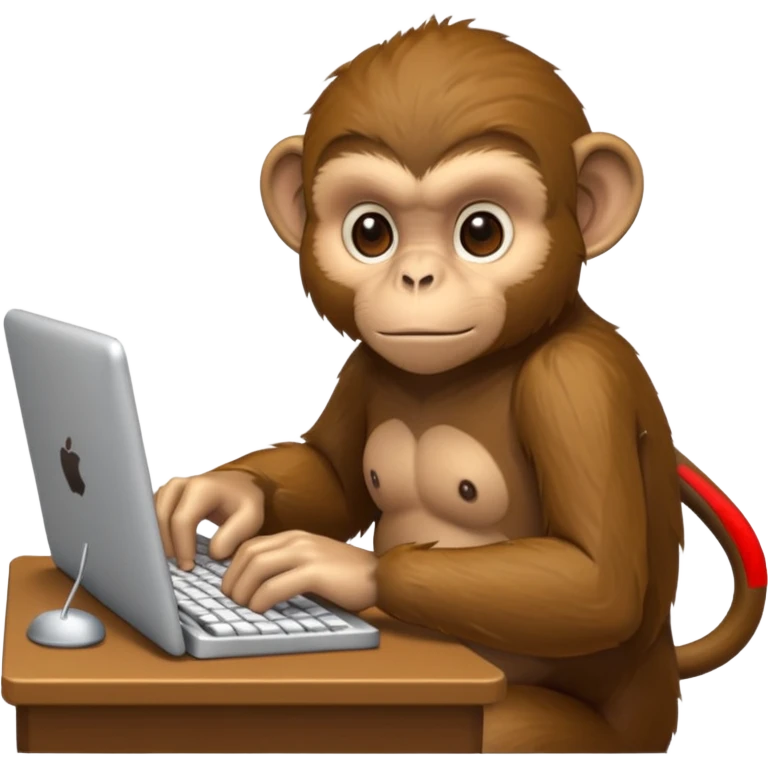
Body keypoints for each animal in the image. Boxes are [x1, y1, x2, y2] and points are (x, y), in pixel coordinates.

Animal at [155, 18, 767, 754]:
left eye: (481, 231)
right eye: (371, 231)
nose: (417, 277)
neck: (480, 365)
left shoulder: (575, 389)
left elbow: (597, 581)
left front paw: (332, 566)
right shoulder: (369, 364)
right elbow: (333, 476)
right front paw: (216, 496)